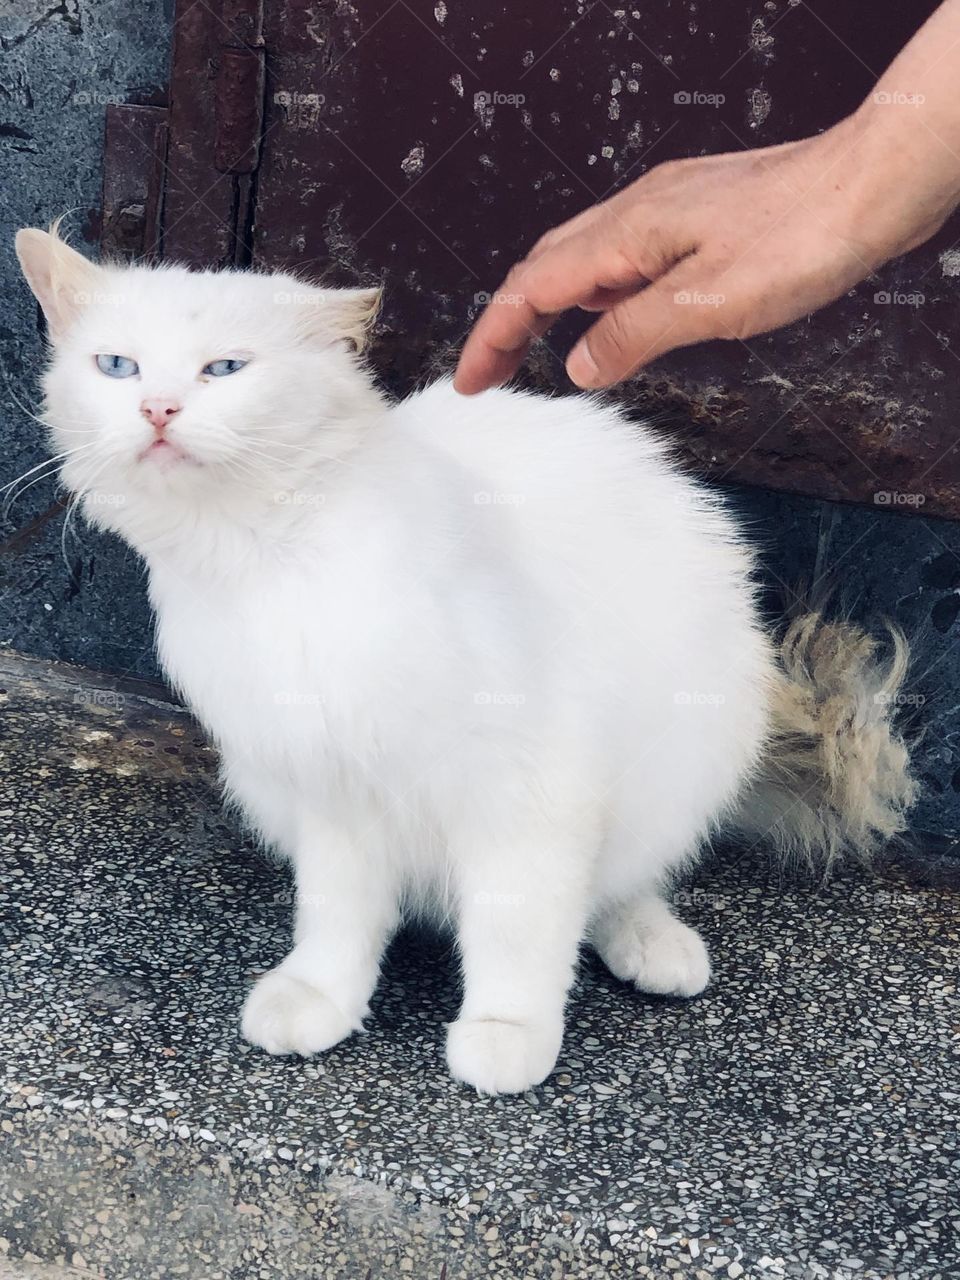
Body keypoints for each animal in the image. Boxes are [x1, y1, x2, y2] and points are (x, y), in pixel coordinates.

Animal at [15, 227, 916, 1090]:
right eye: (117, 366)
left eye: (225, 369)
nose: (157, 408)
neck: (272, 557)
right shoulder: (333, 784)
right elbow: (337, 917)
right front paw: (321, 997)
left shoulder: (529, 786)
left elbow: (519, 928)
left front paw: (506, 1033)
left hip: (684, 757)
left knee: (618, 883)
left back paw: (650, 942)